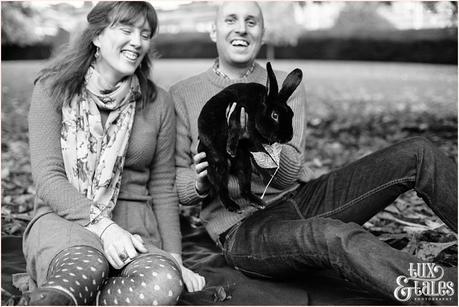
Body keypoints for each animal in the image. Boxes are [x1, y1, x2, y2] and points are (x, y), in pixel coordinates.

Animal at [199, 61, 304, 213]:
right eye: (275, 115)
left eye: (291, 114)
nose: (288, 137)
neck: (258, 107)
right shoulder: (238, 109)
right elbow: (236, 126)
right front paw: (231, 148)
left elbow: (263, 153)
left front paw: (269, 174)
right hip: (217, 164)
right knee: (221, 189)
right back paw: (233, 206)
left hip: (244, 164)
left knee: (244, 188)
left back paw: (259, 202)